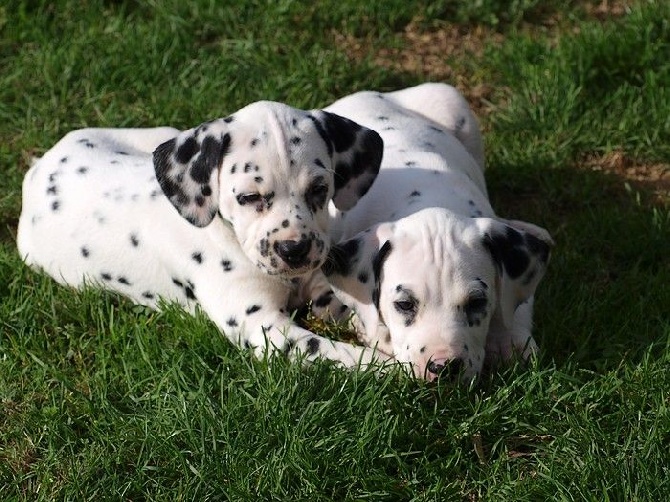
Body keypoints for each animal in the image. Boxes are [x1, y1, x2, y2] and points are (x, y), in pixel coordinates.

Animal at [18, 100, 392, 368]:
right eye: (249, 197)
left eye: (319, 189)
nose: (294, 249)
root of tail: (40, 164)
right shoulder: (263, 327)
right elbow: (339, 353)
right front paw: (386, 368)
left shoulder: (318, 286)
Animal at [322, 83, 552, 380]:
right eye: (404, 304)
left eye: (477, 302)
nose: (444, 368)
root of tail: (365, 94)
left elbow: (515, 303)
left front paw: (508, 341)